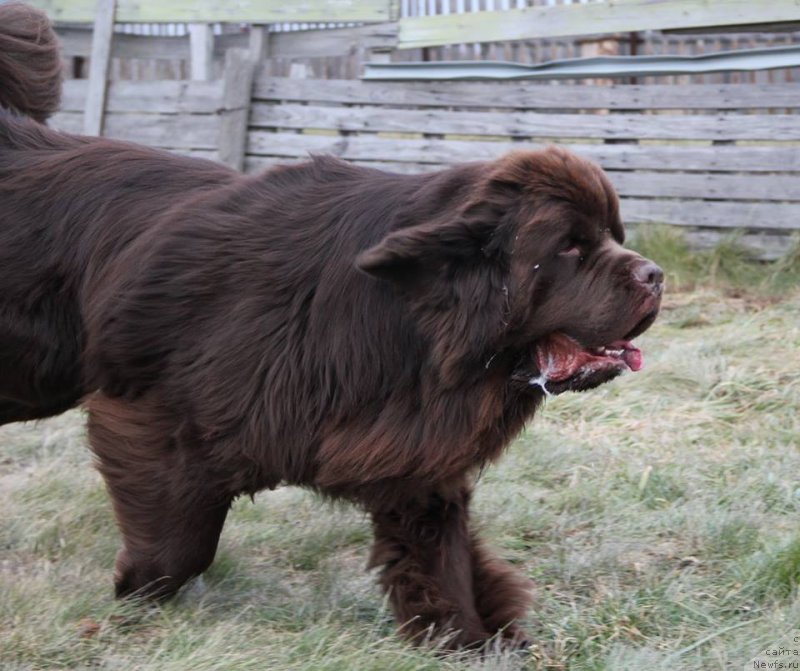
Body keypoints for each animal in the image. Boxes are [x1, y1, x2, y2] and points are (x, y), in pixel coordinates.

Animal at [1, 1, 664, 652]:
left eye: (613, 236)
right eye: (570, 248)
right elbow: (182, 548)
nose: (655, 274)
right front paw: (134, 593)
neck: (411, 325)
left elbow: (442, 560)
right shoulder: (154, 418)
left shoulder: (412, 457)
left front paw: (471, 640)